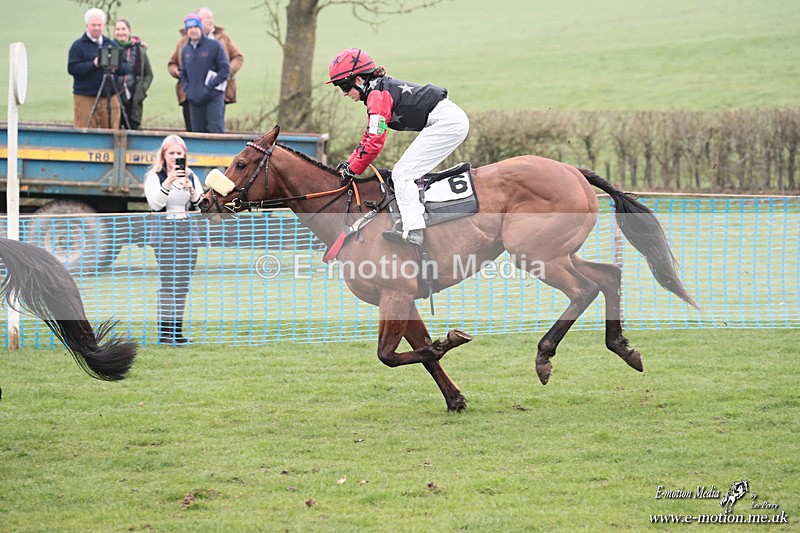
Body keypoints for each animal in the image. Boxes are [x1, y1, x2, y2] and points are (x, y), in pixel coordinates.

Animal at [200, 125, 697, 412]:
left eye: (241, 162)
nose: (205, 201)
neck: (349, 214)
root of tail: (573, 170)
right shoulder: (403, 298)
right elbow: (419, 352)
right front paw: (455, 396)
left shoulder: (394, 295)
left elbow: (391, 355)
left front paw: (450, 340)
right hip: (560, 251)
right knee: (608, 277)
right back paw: (623, 347)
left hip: (536, 254)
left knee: (584, 291)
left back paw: (545, 355)